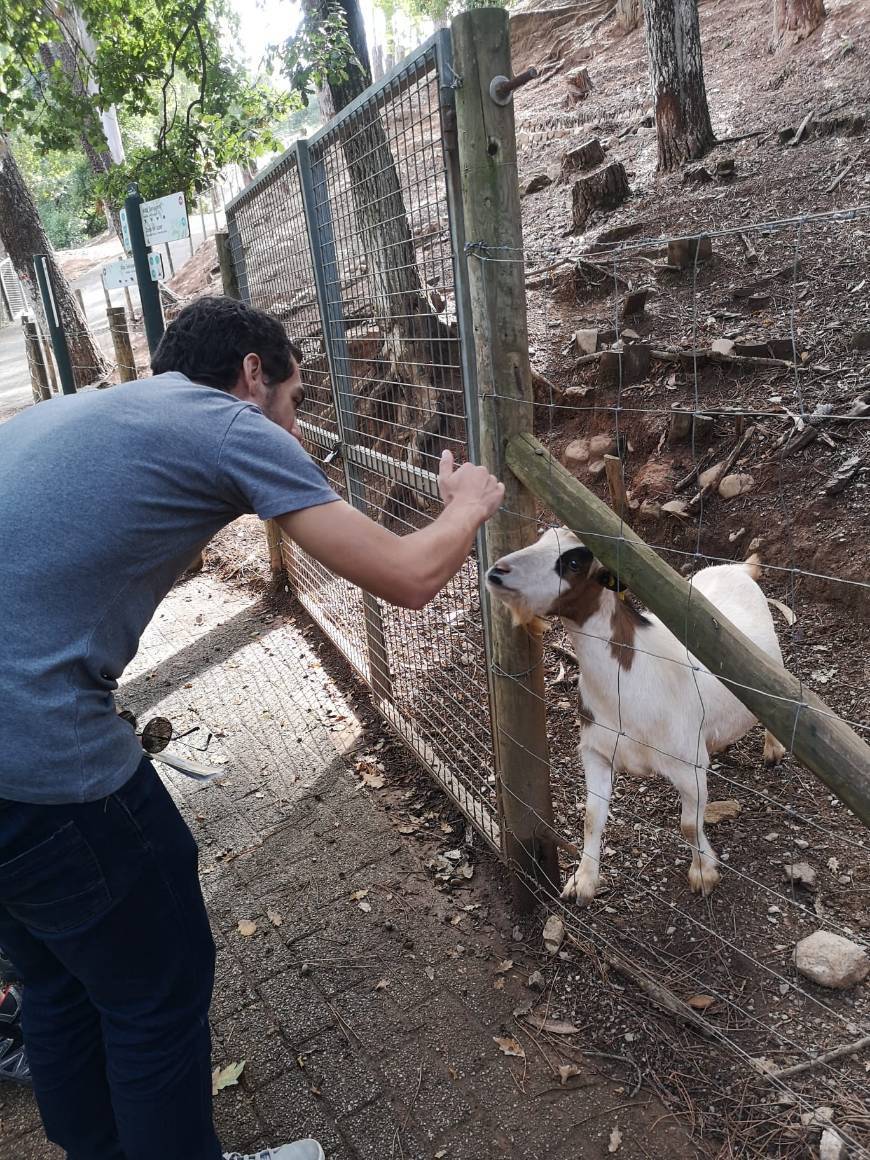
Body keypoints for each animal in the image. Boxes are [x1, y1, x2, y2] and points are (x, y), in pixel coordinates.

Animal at [484, 528, 788, 904]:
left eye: (574, 562)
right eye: (542, 537)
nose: (497, 573)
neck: (631, 679)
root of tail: (738, 569)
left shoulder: (687, 765)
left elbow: (689, 824)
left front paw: (704, 873)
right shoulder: (597, 752)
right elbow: (592, 815)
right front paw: (583, 882)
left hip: (769, 668)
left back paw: (774, 750)